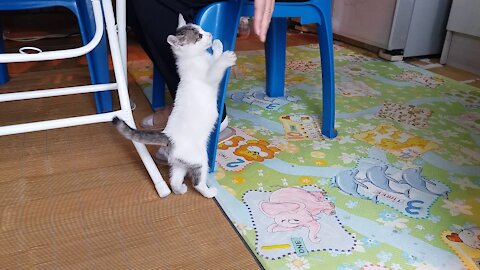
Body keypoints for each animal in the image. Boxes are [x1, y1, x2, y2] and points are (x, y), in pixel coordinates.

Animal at [115, 18, 238, 196]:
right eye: (199, 36)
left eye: (202, 29)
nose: (210, 34)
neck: (196, 58)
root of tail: (169, 137)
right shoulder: (208, 78)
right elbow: (215, 68)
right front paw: (225, 57)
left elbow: (214, 58)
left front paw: (217, 46)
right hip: (200, 160)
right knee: (198, 183)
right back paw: (209, 192)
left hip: (179, 164)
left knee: (174, 180)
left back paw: (180, 189)